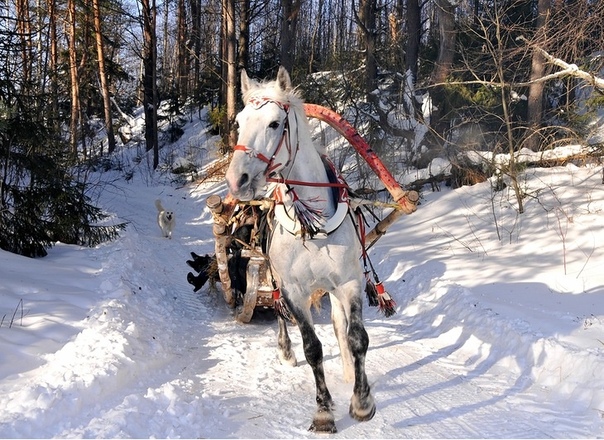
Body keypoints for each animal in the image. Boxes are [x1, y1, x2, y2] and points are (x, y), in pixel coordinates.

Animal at [224, 68, 376, 434]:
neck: (313, 227)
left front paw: (361, 400)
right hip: (273, 277)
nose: (237, 179)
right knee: (280, 313)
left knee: (337, 323)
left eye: (275, 123)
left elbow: (356, 337)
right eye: (239, 121)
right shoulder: (293, 289)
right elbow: (313, 348)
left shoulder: (349, 282)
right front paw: (323, 412)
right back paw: (285, 349)